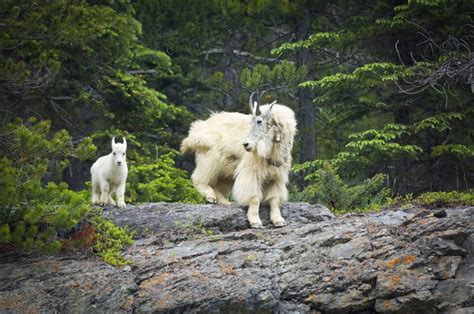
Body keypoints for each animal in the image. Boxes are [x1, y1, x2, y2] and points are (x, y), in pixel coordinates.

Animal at [181, 100, 296, 228]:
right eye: (250, 122)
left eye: (259, 121)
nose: (245, 144)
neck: (272, 150)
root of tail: (196, 130)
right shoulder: (251, 172)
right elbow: (254, 197)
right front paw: (255, 221)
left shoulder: (277, 176)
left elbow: (274, 199)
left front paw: (279, 220)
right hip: (210, 158)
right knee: (199, 178)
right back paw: (210, 196)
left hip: (225, 170)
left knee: (216, 185)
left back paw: (225, 202)